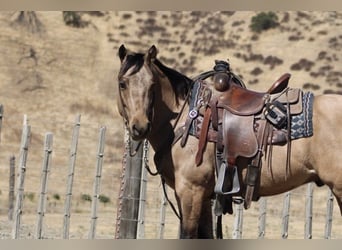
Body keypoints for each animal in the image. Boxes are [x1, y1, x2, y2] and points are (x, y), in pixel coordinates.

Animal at [116, 44, 342, 238]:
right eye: (122, 84)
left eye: (152, 85)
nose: (139, 127)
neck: (183, 119)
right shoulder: (204, 196)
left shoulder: (191, 191)